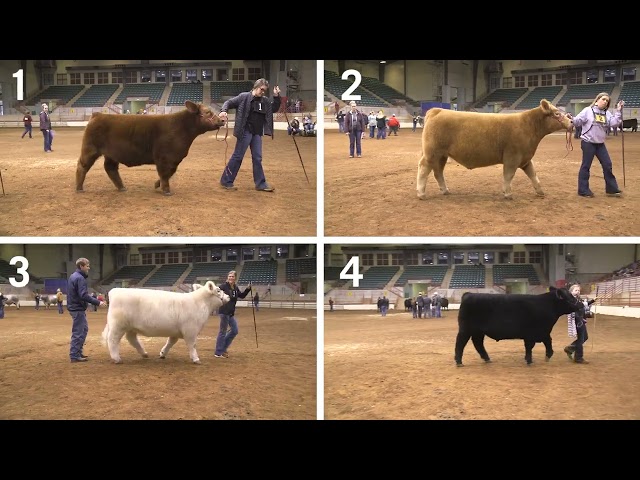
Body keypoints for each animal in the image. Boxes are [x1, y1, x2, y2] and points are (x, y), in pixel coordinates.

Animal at [76, 100, 225, 196]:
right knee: (82, 166)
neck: (182, 128)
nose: (222, 120)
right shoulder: (164, 157)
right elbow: (165, 173)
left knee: (110, 168)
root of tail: (98, 115)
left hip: (112, 154)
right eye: (208, 112)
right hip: (90, 149)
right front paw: (166, 191)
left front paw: (157, 185)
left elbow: (169, 173)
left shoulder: (174, 159)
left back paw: (122, 188)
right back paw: (79, 188)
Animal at [101, 280, 230, 364]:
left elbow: (171, 342)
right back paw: (117, 359)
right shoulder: (191, 330)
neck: (199, 303)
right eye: (218, 290)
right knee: (112, 339)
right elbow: (192, 345)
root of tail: (115, 291)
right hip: (118, 325)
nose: (228, 296)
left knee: (132, 339)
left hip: (131, 327)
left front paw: (163, 353)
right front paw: (196, 359)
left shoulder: (176, 331)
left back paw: (144, 353)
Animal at [417, 99, 574, 200]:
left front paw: (540, 192)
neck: (529, 125)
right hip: (432, 153)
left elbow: (533, 175)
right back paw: (421, 194)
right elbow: (509, 175)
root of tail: (437, 110)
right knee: (424, 168)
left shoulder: (526, 159)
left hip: (442, 155)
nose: (572, 121)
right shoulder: (512, 157)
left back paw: (445, 191)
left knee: (438, 172)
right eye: (557, 114)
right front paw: (508, 193)